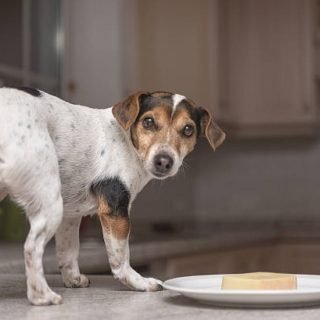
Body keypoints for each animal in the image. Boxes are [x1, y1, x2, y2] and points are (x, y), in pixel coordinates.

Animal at [0, 87, 225, 304]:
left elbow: (68, 252)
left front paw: (73, 279)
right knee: (32, 247)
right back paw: (42, 296)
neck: (127, 141)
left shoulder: (70, 216)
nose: (164, 161)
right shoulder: (115, 211)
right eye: (148, 122)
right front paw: (138, 282)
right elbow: (120, 258)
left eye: (188, 130)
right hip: (50, 204)